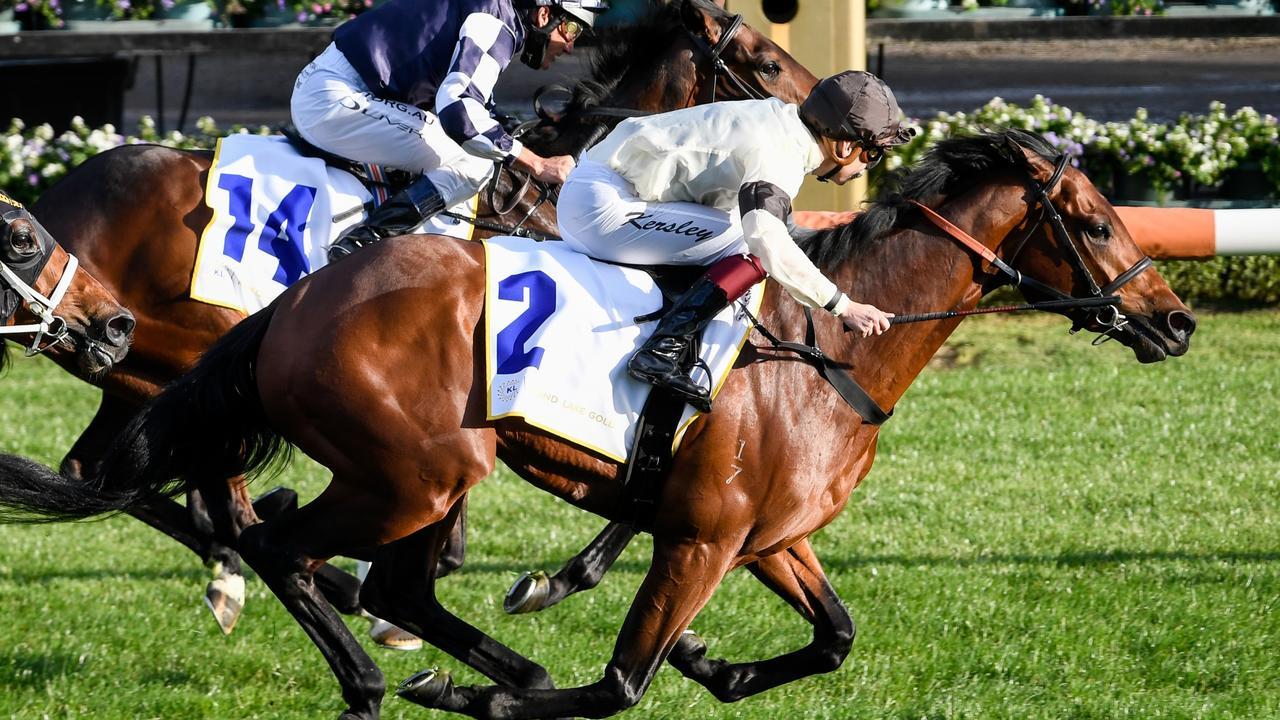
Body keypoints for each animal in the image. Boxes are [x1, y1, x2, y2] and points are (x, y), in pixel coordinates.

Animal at [22, 0, 808, 627]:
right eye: (767, 62)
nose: (826, 129)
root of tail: (48, 210)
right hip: (168, 356)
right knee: (195, 482)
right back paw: (259, 569)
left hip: (132, 369)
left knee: (108, 470)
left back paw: (245, 570)